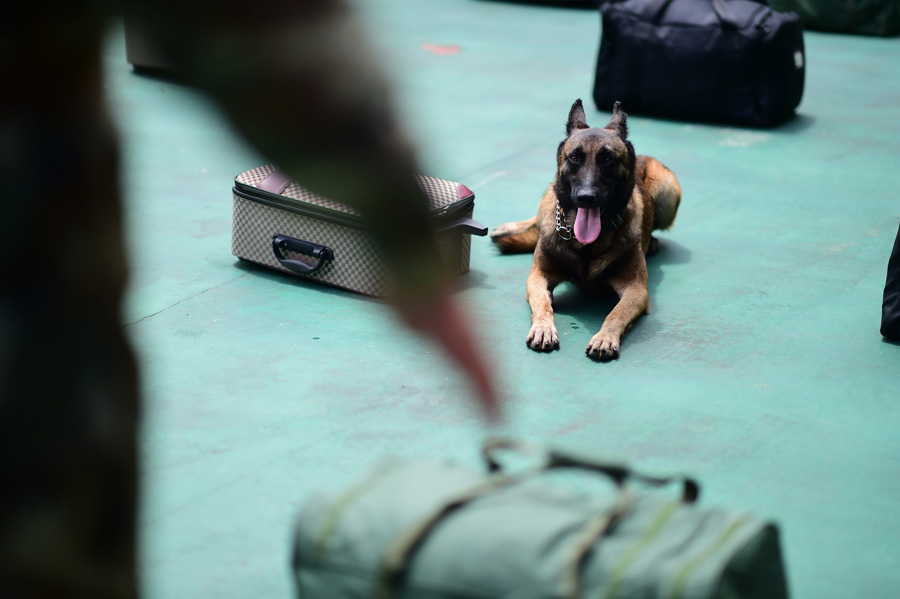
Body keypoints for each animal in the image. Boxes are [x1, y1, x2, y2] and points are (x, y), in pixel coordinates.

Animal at [492, 99, 684, 360]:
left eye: (608, 159)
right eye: (574, 157)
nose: (586, 197)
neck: (586, 244)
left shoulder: (636, 290)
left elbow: (616, 313)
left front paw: (605, 337)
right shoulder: (537, 277)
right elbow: (543, 304)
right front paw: (543, 328)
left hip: (668, 191)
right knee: (537, 218)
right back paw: (509, 228)